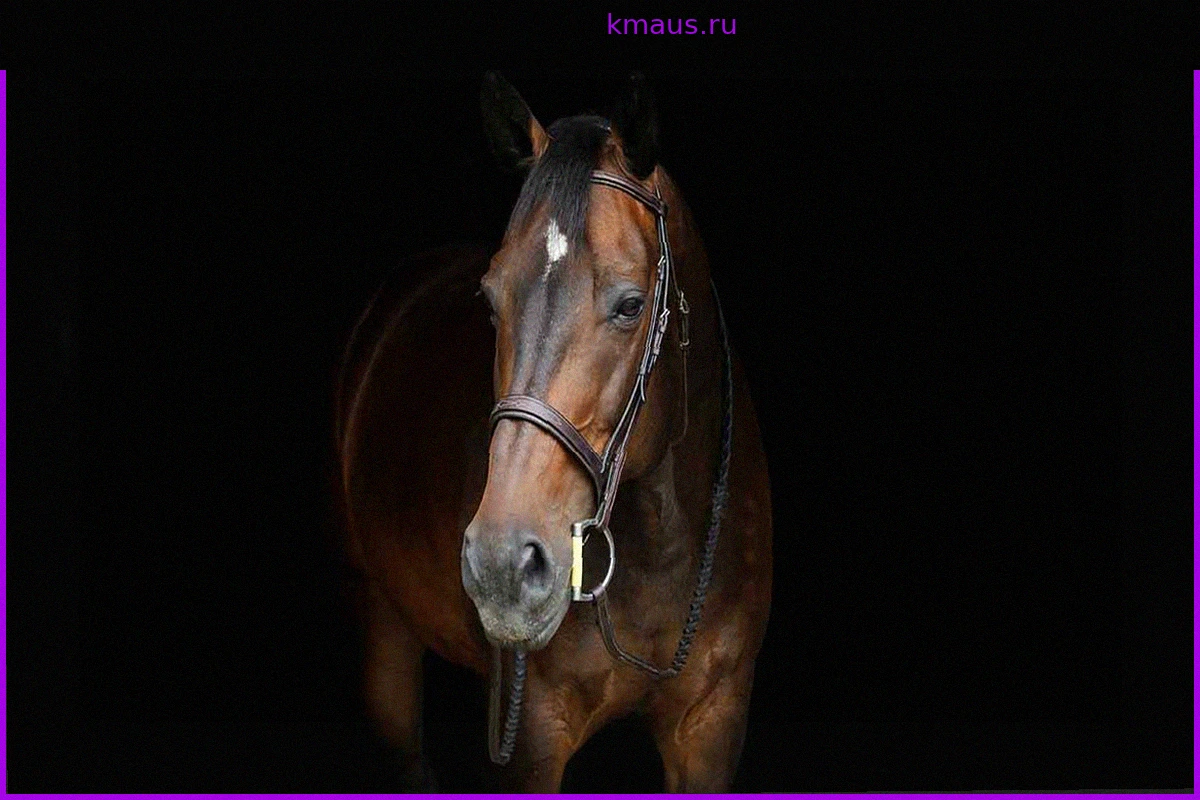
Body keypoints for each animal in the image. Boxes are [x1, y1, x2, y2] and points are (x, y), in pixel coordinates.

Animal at [334, 72, 773, 792]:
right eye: (488, 301)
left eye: (631, 305)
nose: (501, 564)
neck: (662, 544)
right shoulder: (534, 733)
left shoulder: (712, 723)